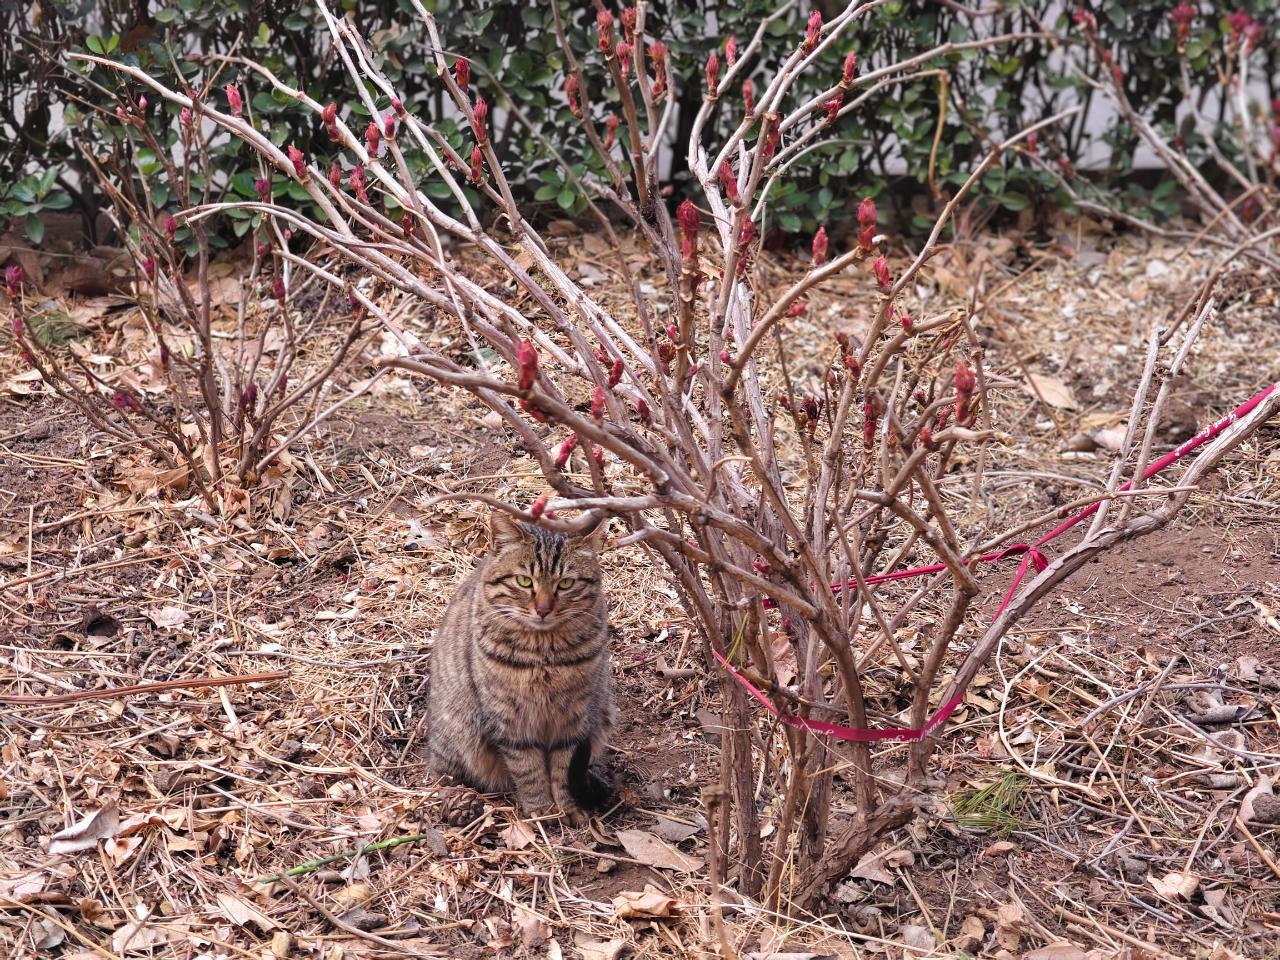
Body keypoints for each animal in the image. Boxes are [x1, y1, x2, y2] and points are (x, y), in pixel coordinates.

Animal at [424, 514, 614, 824]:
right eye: (524, 581)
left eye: (566, 583)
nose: (543, 610)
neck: (544, 654)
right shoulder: (510, 721)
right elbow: (528, 769)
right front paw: (541, 808)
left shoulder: (574, 719)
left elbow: (563, 767)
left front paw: (567, 807)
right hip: (457, 731)